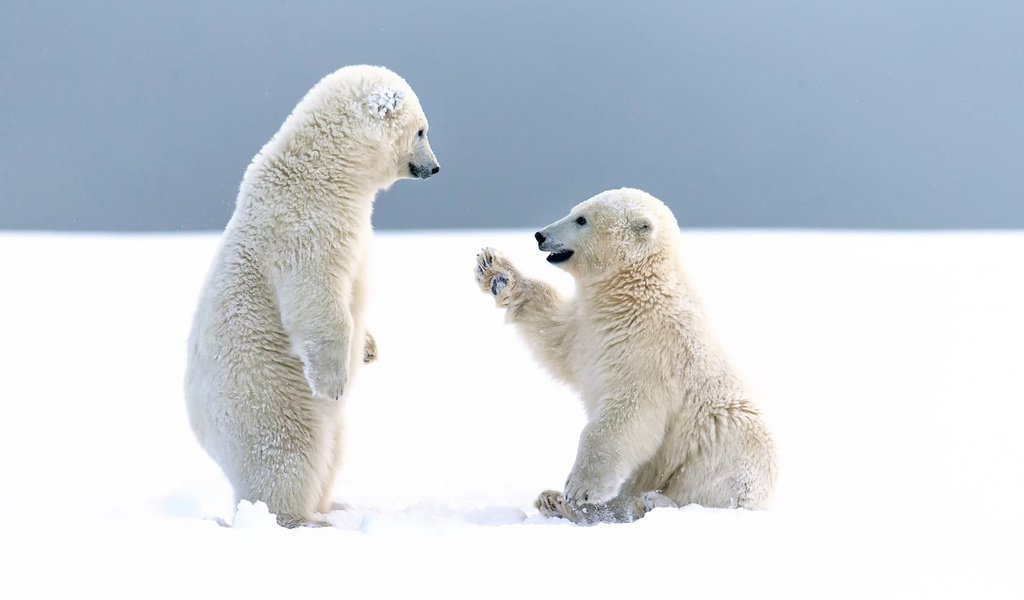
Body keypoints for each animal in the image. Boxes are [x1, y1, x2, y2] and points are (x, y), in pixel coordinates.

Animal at [187, 64, 440, 524]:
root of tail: (203, 430)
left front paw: (369, 347)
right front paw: (334, 381)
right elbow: (317, 299)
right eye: (421, 130)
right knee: (288, 455)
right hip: (264, 398)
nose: (435, 167)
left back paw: (332, 505)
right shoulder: (306, 225)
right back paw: (301, 519)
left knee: (334, 451)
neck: (322, 169)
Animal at [477, 188, 774, 524]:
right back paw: (555, 501)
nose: (540, 235)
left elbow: (626, 415)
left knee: (710, 487)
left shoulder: (650, 349)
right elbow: (556, 337)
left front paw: (580, 488)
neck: (636, 291)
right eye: (574, 211)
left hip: (724, 449)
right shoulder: (590, 328)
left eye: (582, 219)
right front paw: (495, 269)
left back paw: (651, 502)